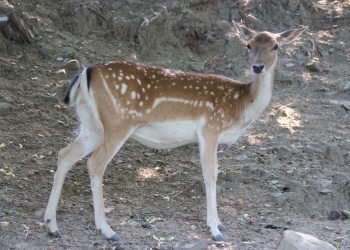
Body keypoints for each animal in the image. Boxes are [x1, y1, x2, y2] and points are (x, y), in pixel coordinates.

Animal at [43, 22, 306, 242]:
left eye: (276, 45)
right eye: (248, 45)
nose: (257, 66)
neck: (241, 104)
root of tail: (85, 72)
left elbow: (215, 173)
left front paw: (220, 224)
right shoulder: (210, 129)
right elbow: (210, 176)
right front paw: (215, 230)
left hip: (92, 125)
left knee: (65, 154)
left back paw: (52, 225)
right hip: (118, 121)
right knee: (94, 163)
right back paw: (107, 231)